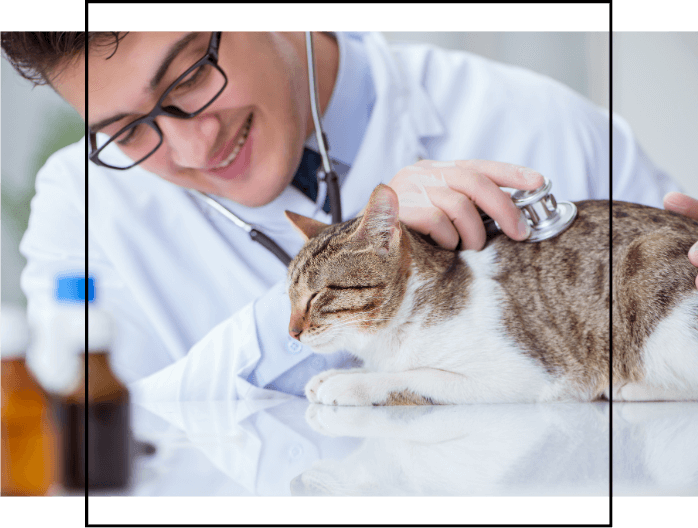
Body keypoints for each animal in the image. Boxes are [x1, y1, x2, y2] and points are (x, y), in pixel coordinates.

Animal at [282, 184, 696, 406]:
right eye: (289, 297)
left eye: (317, 295)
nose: (292, 333)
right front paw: (338, 373)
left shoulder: (524, 375)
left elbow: (413, 376)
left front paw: (350, 382)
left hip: (650, 269)